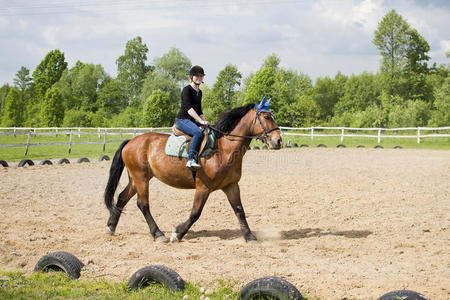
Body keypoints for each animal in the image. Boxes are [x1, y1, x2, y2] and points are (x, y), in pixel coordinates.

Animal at [103, 98, 284, 244]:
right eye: (267, 117)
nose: (278, 141)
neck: (223, 149)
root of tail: (130, 141)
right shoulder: (203, 187)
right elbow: (196, 213)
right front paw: (177, 234)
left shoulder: (231, 185)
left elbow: (240, 211)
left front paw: (250, 237)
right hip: (141, 178)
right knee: (143, 204)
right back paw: (158, 234)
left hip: (137, 178)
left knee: (122, 198)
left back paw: (111, 228)